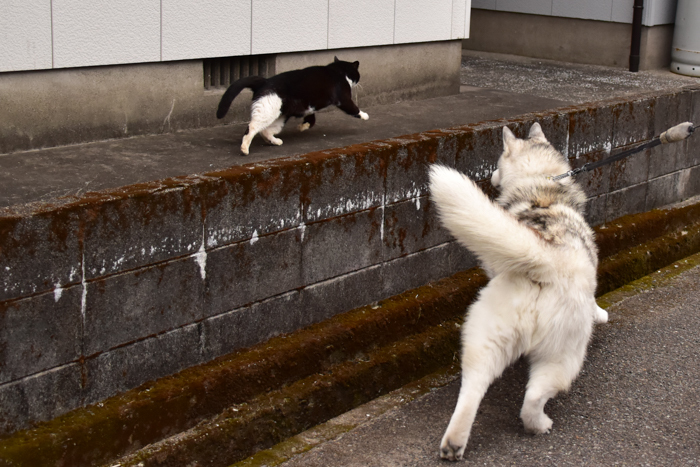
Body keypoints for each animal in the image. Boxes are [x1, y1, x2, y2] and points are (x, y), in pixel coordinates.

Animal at [216, 56, 370, 155]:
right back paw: (244, 149)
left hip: (280, 117)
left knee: (265, 131)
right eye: (357, 74)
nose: (358, 81)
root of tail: (264, 81)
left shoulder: (309, 106)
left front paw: (303, 126)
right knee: (252, 127)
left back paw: (275, 141)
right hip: (268, 111)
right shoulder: (343, 98)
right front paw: (364, 115)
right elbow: (353, 108)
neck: (339, 71)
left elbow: (311, 118)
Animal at [426, 122, 608, 462]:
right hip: (565, 355)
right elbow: (594, 302)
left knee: (473, 390)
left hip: (486, 339)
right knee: (533, 398)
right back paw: (539, 425)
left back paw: (454, 443)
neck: (541, 187)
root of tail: (545, 260)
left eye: (497, 163)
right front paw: (600, 314)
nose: (491, 176)